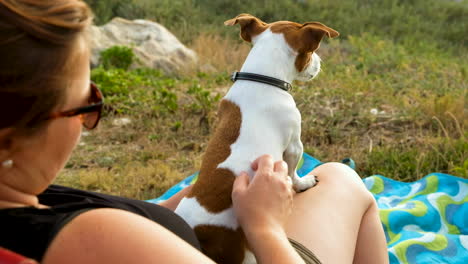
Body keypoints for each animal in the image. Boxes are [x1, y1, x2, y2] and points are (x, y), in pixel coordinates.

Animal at [176, 14, 340, 264]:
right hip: (242, 252)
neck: (262, 79)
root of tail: (199, 233)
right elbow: (294, 172)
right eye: (311, 52)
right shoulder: (294, 145)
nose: (320, 62)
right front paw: (303, 183)